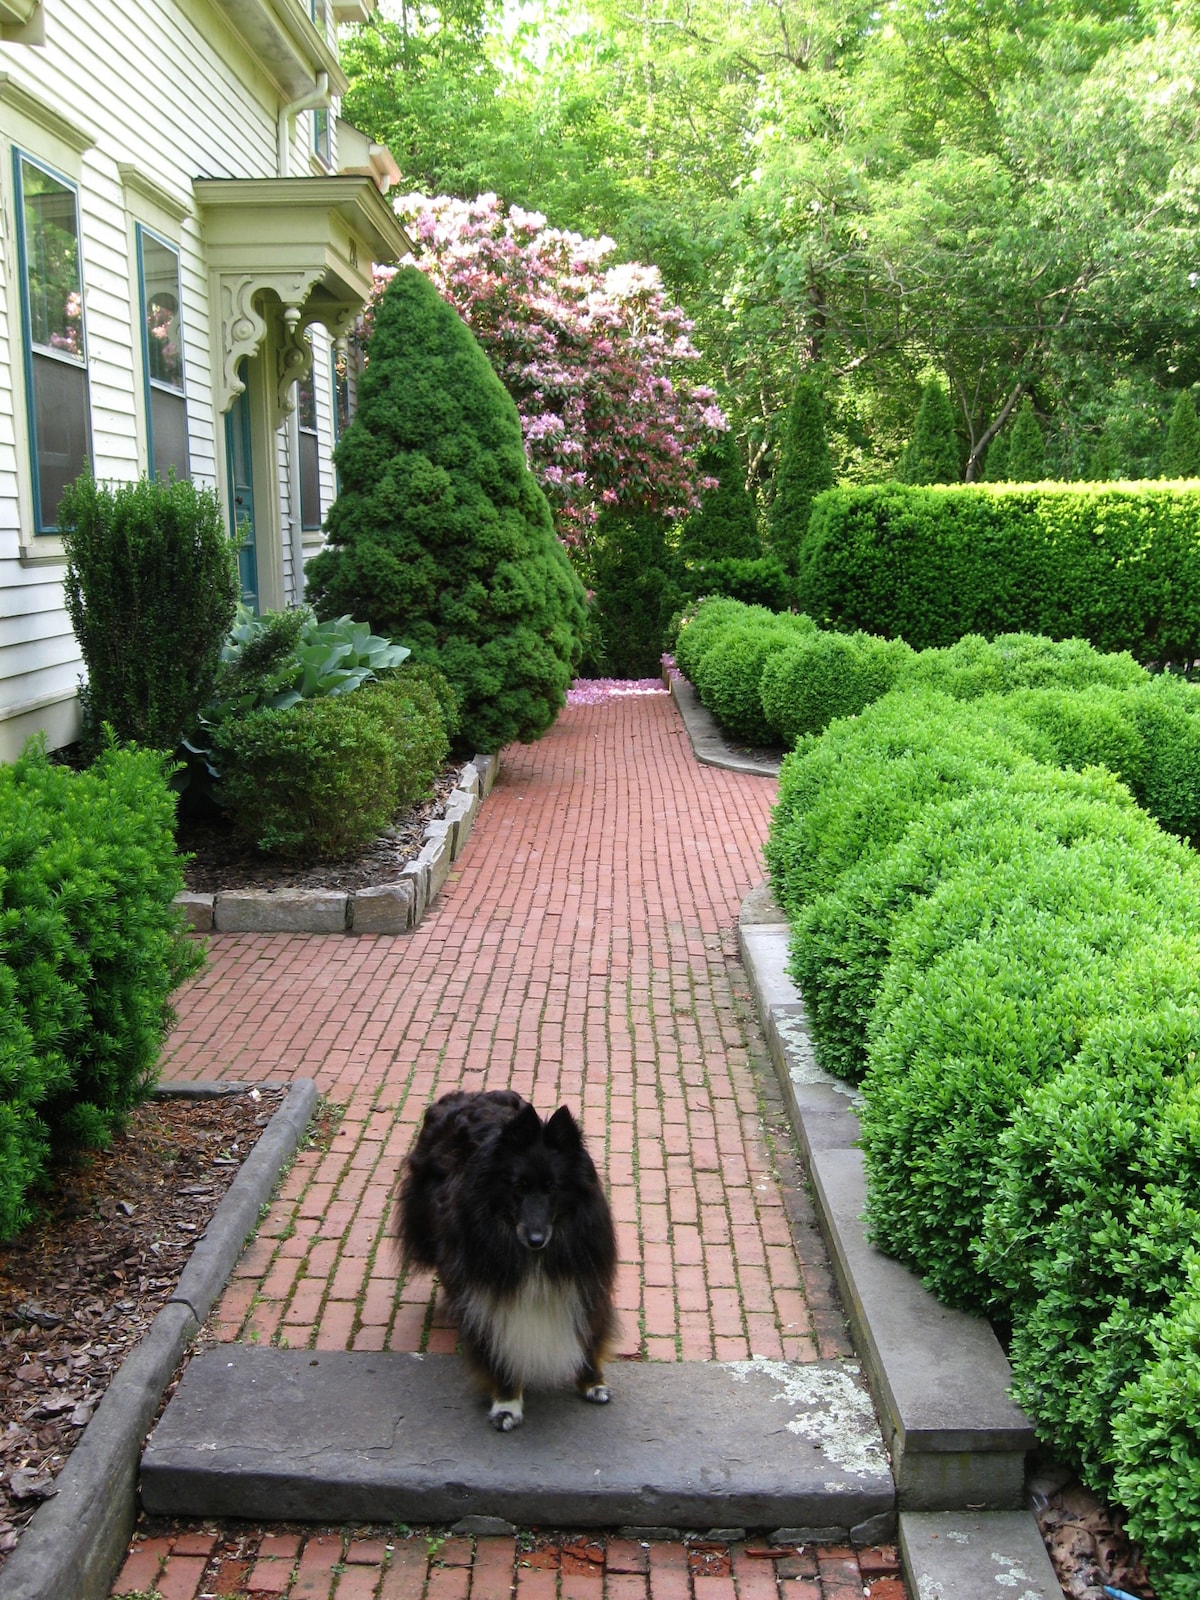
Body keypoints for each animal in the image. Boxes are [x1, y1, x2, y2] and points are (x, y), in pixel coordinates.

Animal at [395, 1094, 620, 1433]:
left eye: (553, 1187)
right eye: (518, 1187)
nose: (536, 1239)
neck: (535, 1258)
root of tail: (466, 1095)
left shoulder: (586, 1285)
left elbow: (588, 1336)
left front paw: (592, 1382)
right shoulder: (490, 1297)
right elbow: (498, 1347)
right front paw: (507, 1402)